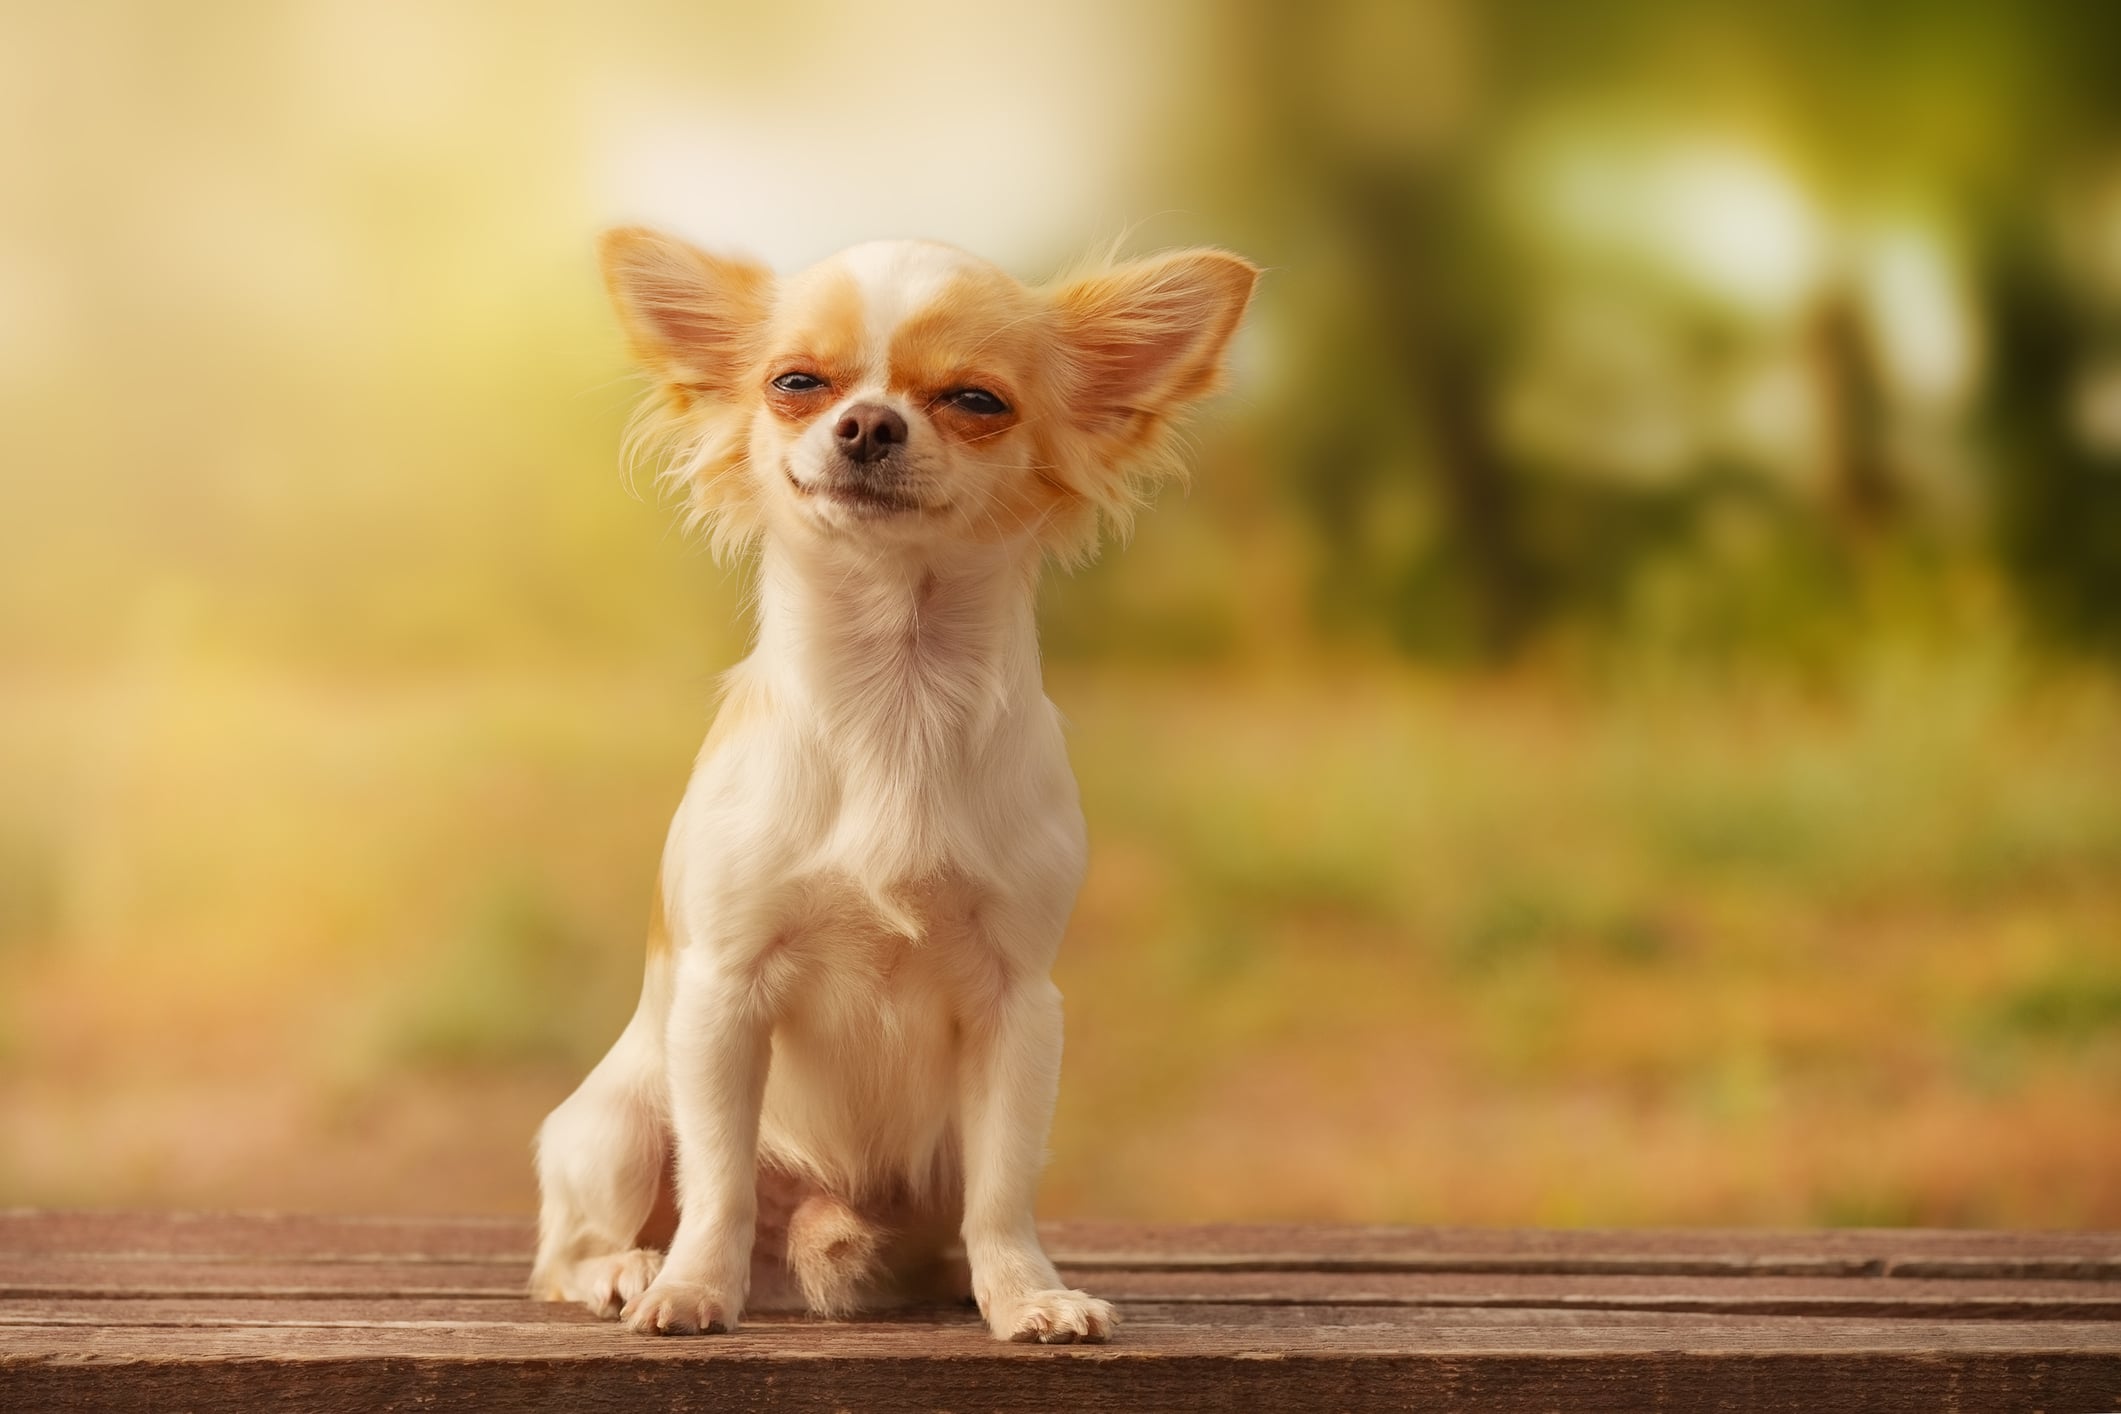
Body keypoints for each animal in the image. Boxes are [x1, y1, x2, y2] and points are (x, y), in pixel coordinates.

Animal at [534, 226, 1255, 1348]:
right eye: (796, 383)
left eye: (975, 399)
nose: (868, 422)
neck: (896, 695)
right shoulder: (722, 994)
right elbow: (719, 1181)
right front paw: (692, 1289)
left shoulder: (1017, 1008)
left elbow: (1004, 1190)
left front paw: (1027, 1294)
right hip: (613, 1124)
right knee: (568, 1249)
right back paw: (628, 1266)